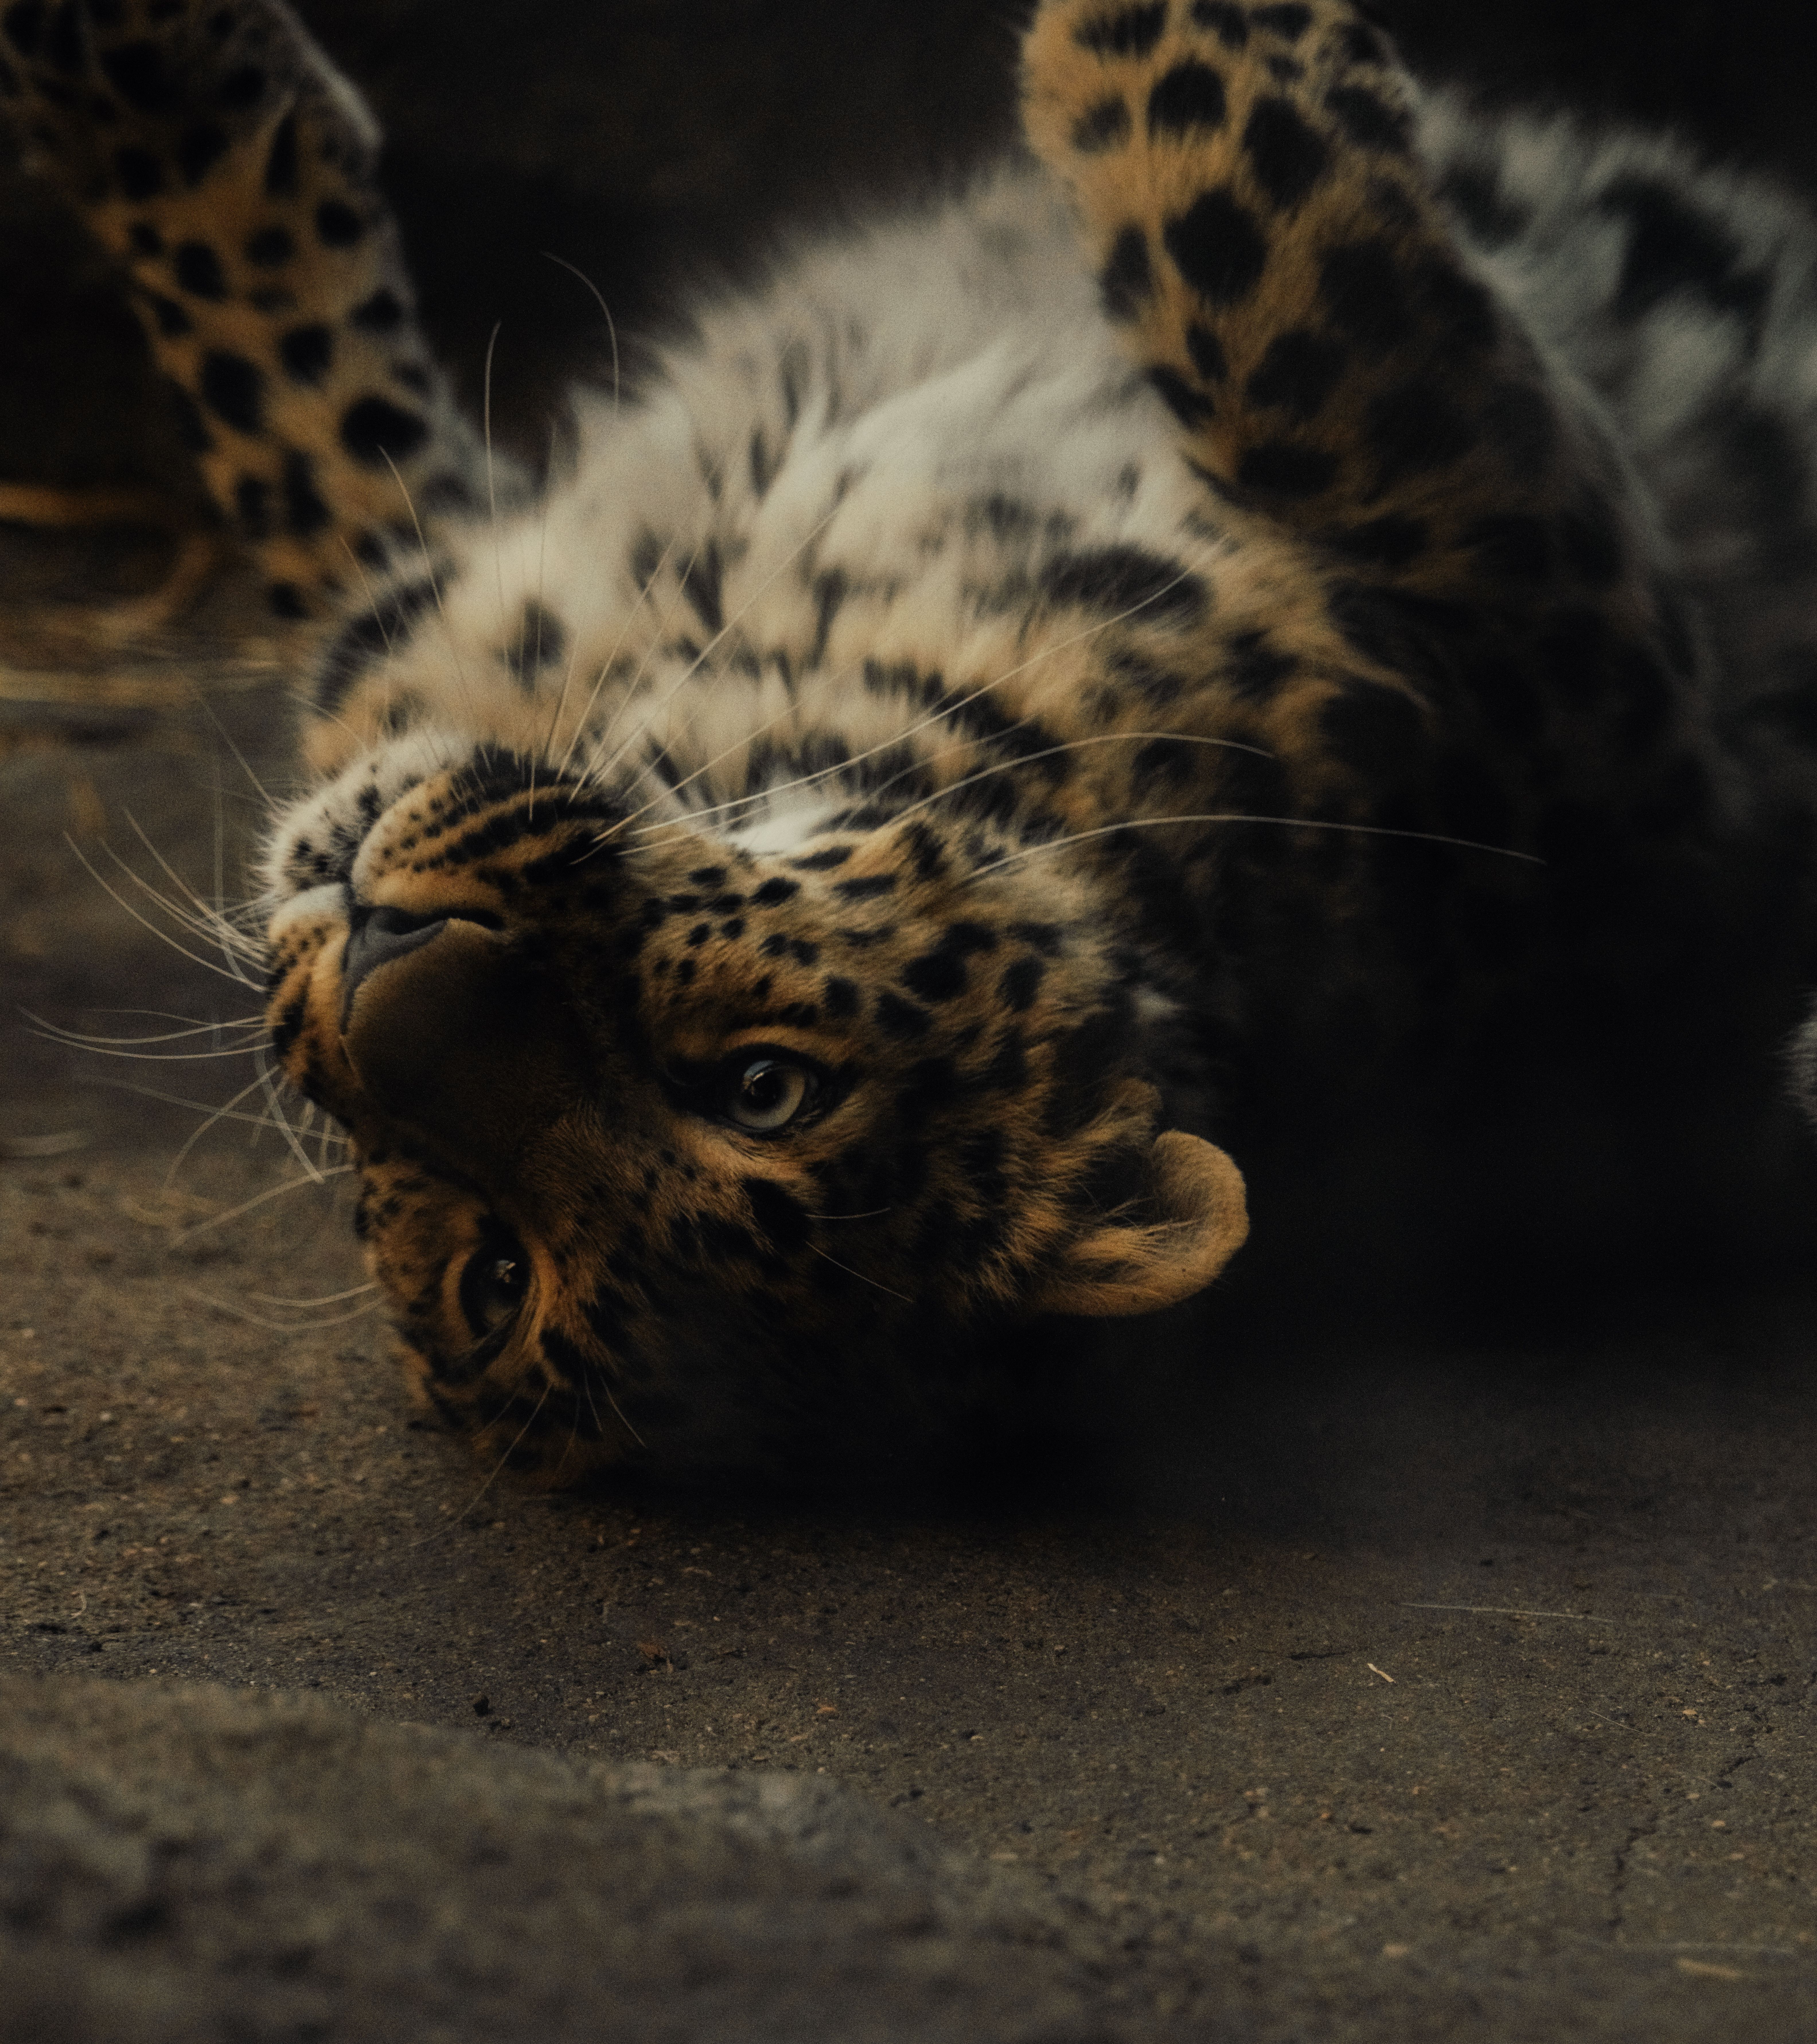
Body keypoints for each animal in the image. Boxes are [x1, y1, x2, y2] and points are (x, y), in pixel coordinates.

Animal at [6, 0, 1817, 1480]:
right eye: (494, 1269)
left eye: (756, 1087)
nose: (379, 945)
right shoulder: (435, 611)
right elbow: (298, 415)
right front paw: (144, 74)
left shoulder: (1576, 682)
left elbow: (1262, 270)